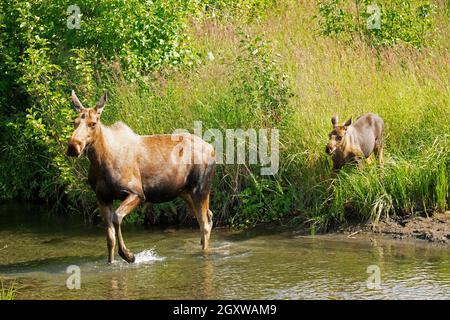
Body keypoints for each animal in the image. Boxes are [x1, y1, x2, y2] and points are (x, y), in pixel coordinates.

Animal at [66, 90, 215, 262]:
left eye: (93, 123)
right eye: (75, 122)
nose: (73, 146)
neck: (100, 161)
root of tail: (212, 148)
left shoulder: (137, 193)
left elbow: (117, 217)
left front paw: (128, 254)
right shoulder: (102, 197)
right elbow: (109, 238)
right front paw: (112, 261)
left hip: (201, 188)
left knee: (204, 223)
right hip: (184, 192)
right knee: (207, 217)